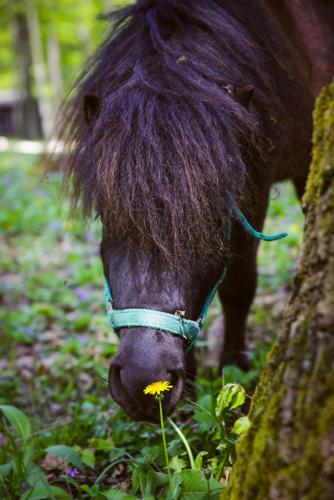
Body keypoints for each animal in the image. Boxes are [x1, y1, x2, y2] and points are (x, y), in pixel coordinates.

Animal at [61, 0, 334, 422]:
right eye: (110, 214)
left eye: (211, 218)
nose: (144, 382)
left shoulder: (275, 179)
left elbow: (240, 285)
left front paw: (233, 365)